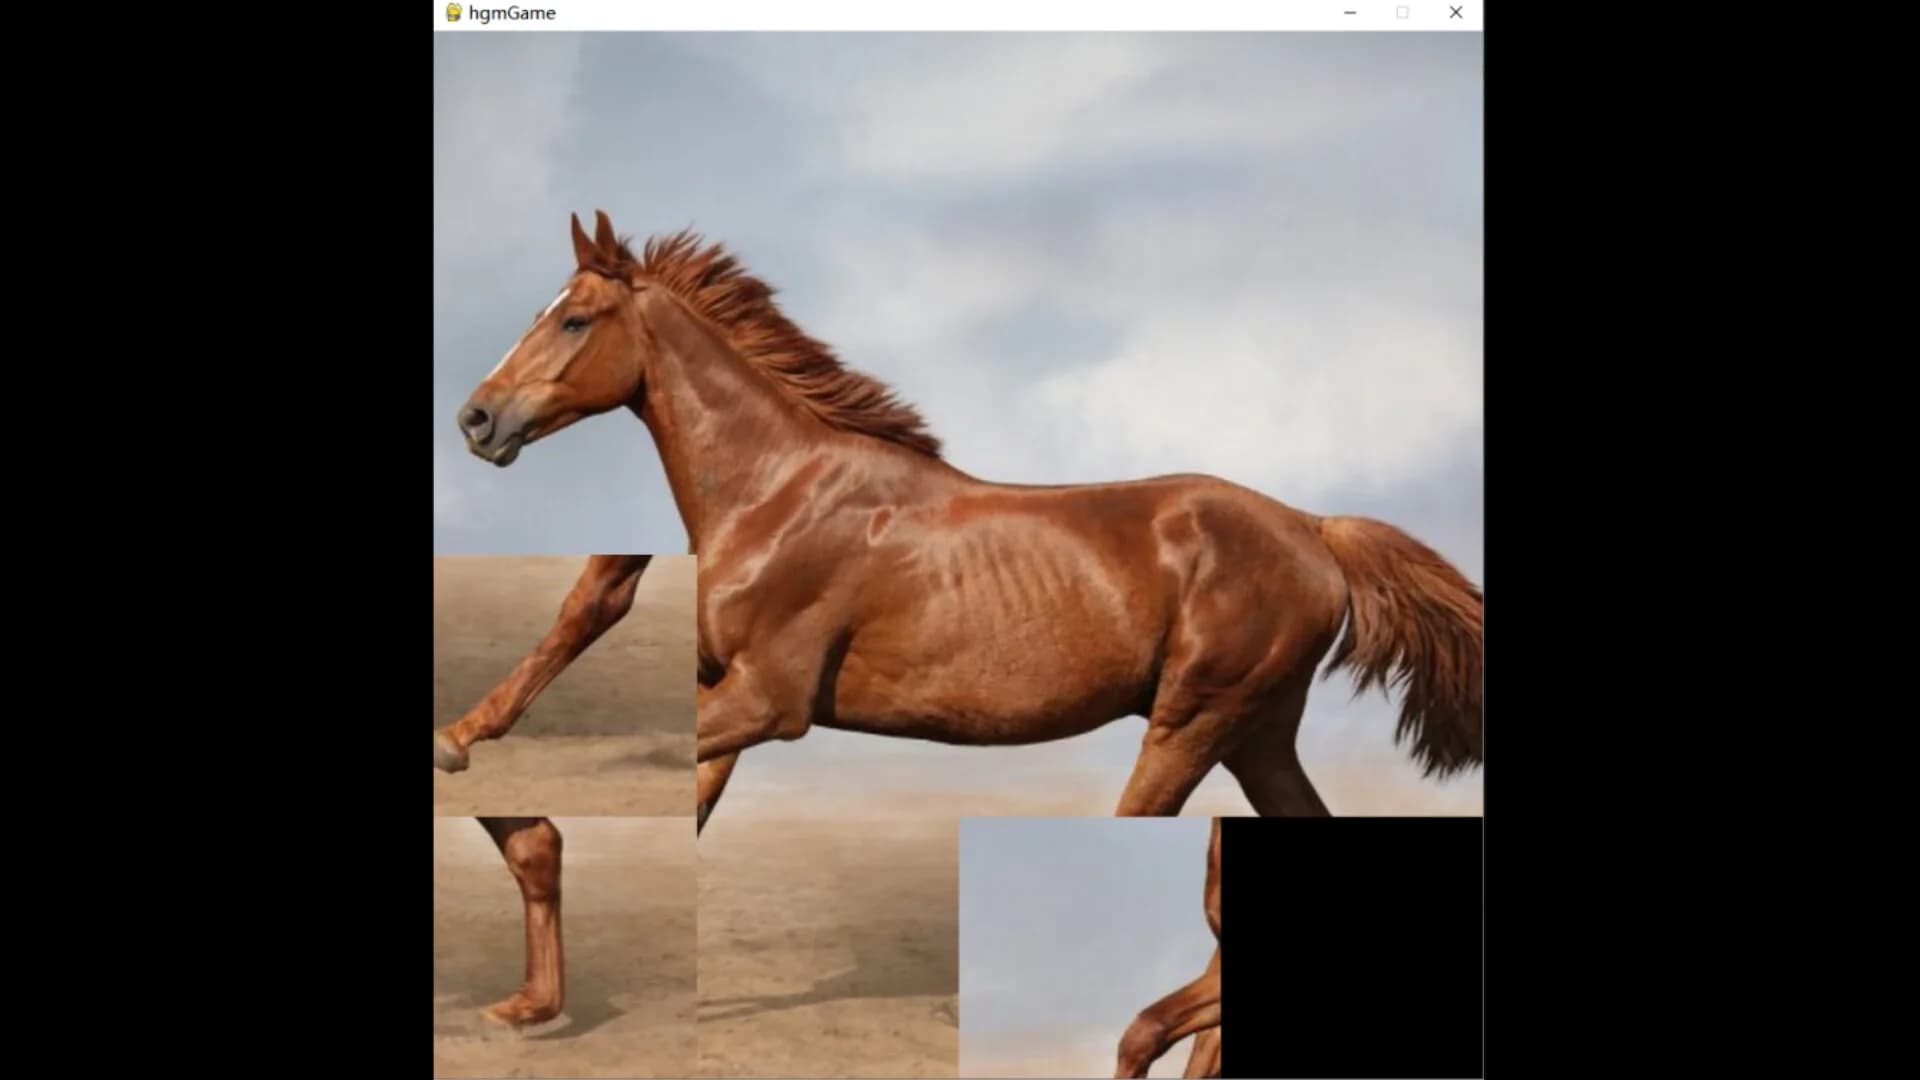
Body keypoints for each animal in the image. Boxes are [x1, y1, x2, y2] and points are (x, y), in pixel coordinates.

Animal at [442, 209, 1483, 831]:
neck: (779, 491)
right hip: (1256, 733)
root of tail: (1313, 528)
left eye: (574, 319)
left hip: (1198, 720)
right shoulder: (725, 699)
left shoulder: (771, 701)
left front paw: (454, 744)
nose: (477, 419)